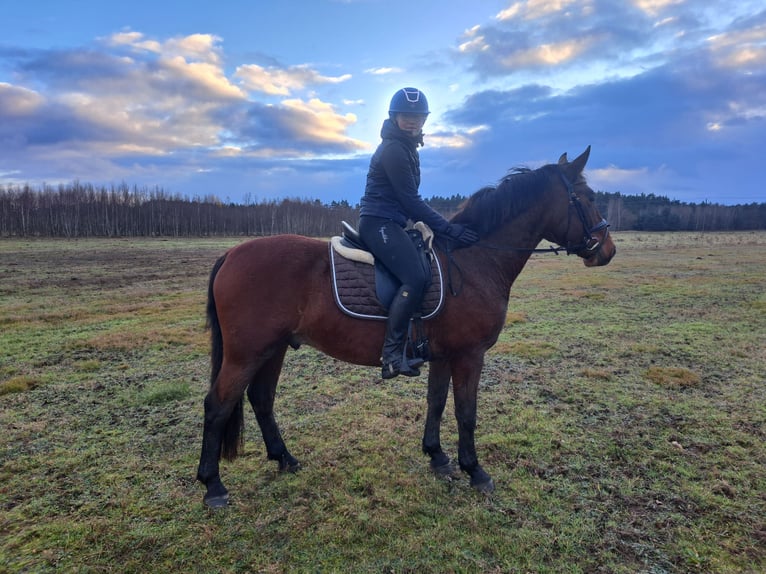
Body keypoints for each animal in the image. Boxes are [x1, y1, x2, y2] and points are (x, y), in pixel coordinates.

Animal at [196, 147, 616, 508]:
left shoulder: (444, 355)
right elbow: (466, 411)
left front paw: (437, 457)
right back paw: (213, 485)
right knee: (218, 405)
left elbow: (437, 402)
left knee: (261, 399)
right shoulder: (469, 355)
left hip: (274, 348)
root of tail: (231, 253)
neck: (475, 262)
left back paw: (285, 459)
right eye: (587, 195)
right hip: (247, 353)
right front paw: (475, 471)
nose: (607, 250)